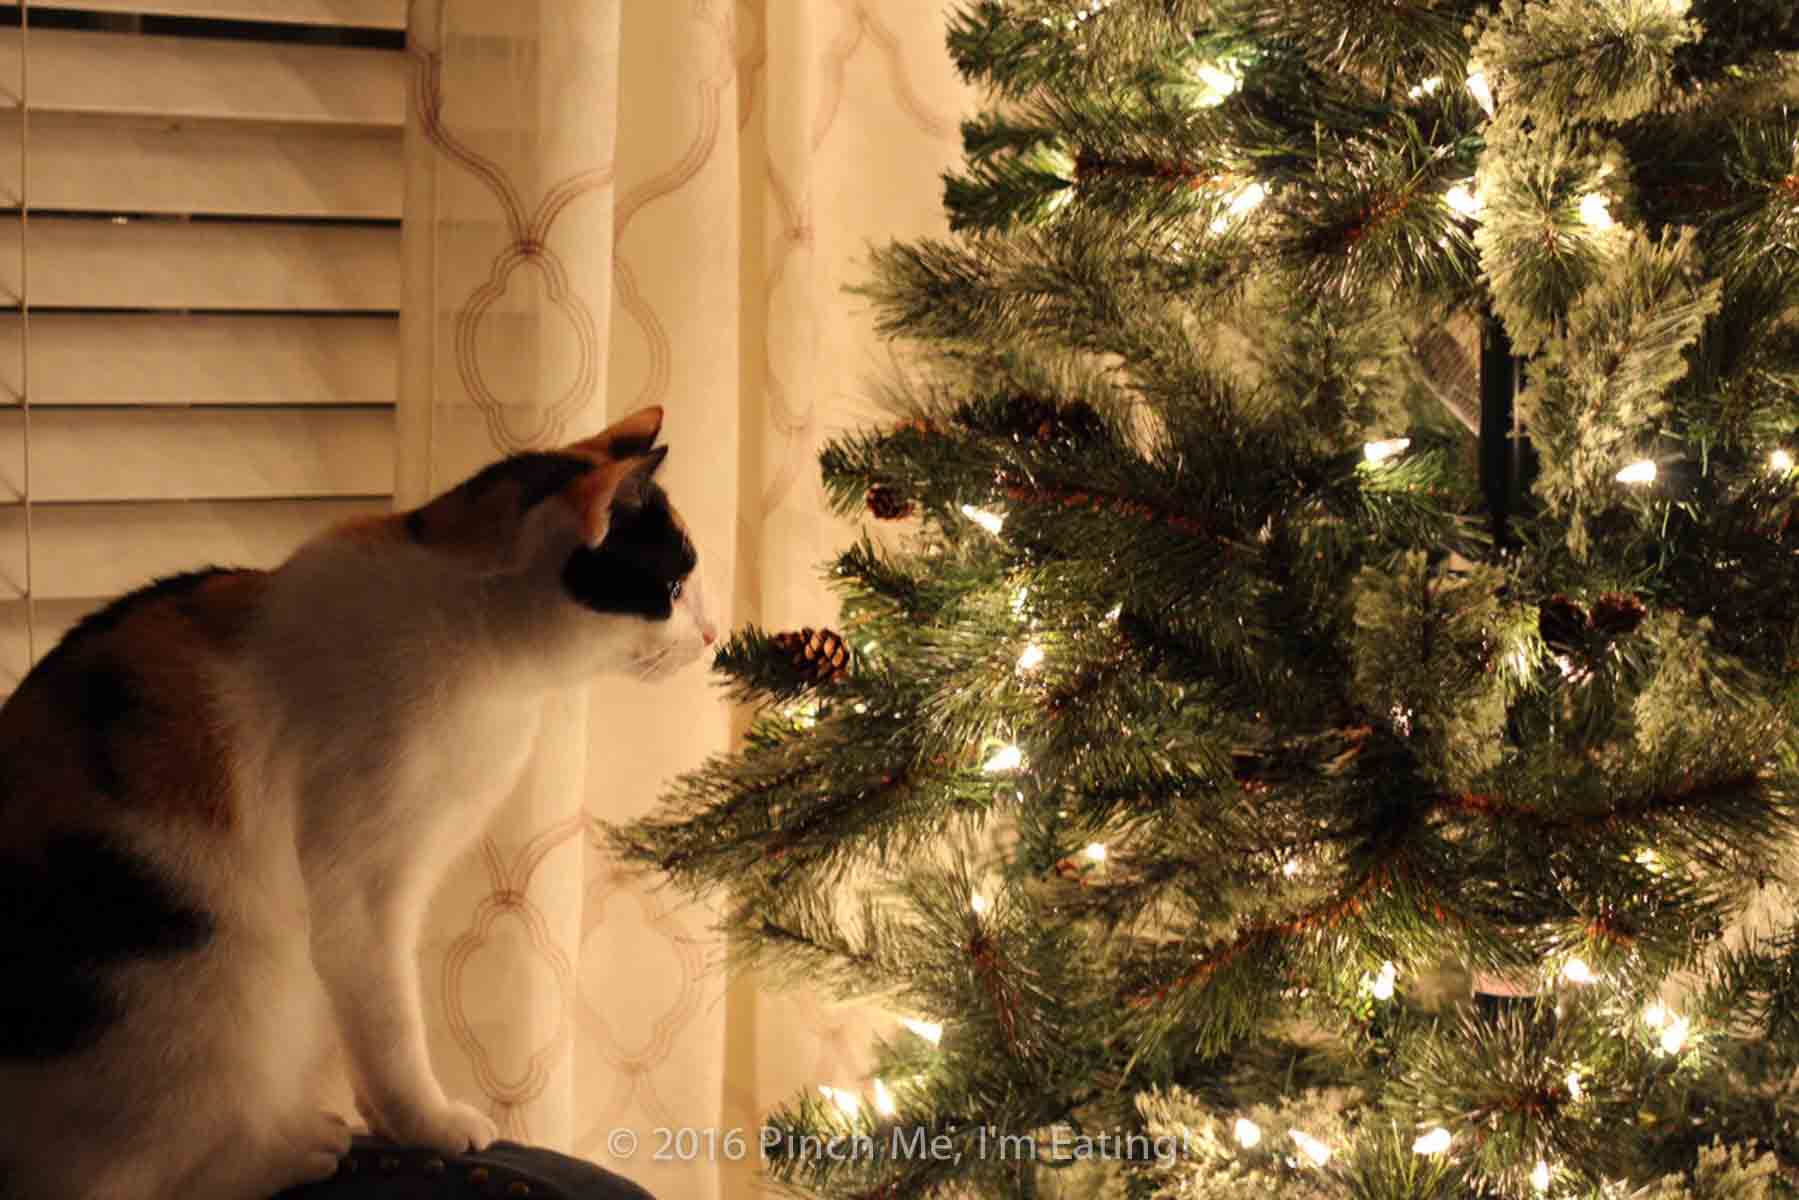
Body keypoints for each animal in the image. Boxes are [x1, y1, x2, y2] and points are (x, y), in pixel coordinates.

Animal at [0, 408, 712, 1194]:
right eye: (674, 586)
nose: (714, 636)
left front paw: (389, 1120)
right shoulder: (362, 886)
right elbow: (391, 1020)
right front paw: (429, 1122)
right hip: (218, 982)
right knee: (150, 1174)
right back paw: (291, 1150)